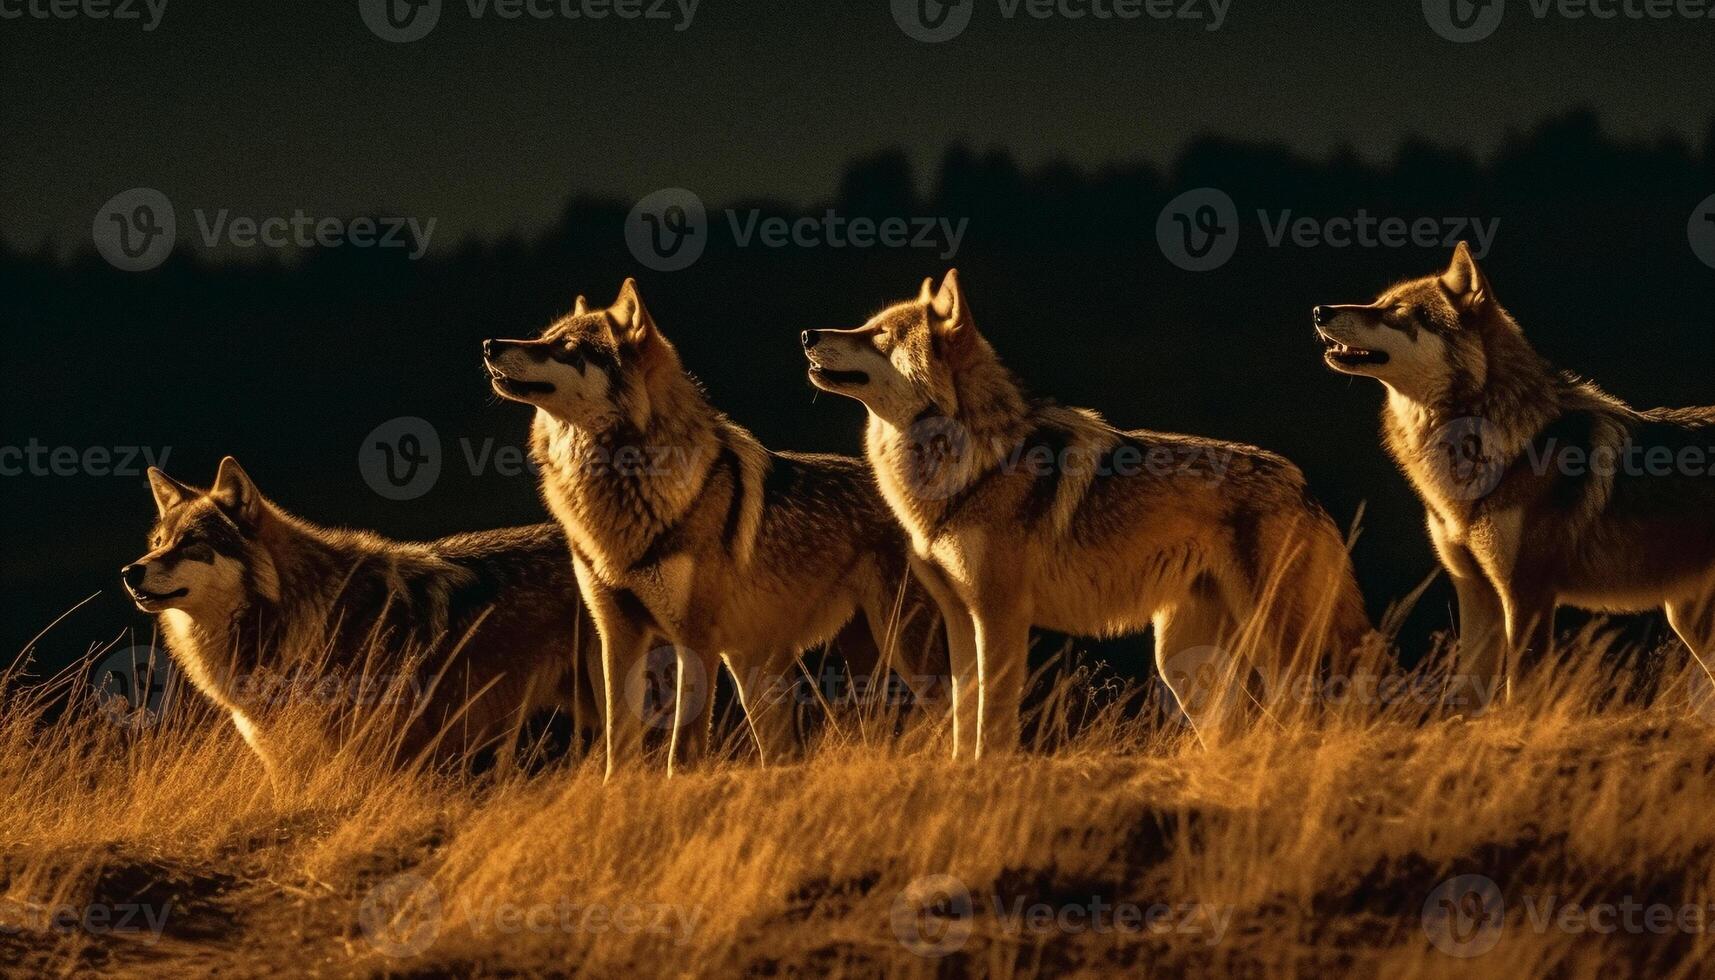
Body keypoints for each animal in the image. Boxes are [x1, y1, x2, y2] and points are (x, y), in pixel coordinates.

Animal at [476, 279, 946, 779]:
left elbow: (680, 751)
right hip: (771, 672)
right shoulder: (617, 635)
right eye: (544, 337)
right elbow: (617, 748)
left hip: (901, 652)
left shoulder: (695, 640)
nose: (489, 345)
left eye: (565, 348)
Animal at [799, 271, 1365, 758]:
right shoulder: (960, 617)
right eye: (866, 327)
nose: (806, 332)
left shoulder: (1000, 616)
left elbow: (991, 723)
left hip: (1276, 648)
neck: (969, 465)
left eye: (880, 336)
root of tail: (1304, 488)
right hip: (1183, 663)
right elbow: (963, 717)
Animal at [1317, 243, 1708, 707]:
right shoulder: (1476, 593)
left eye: (1396, 311)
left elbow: (1517, 695)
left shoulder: (1526, 596)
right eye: (1378, 303)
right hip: (1687, 619)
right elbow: (1469, 694)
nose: (1320, 310)